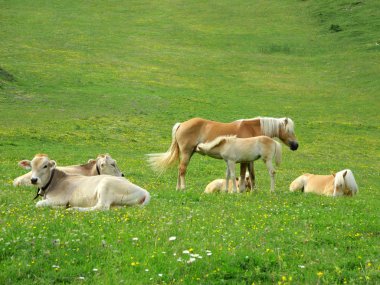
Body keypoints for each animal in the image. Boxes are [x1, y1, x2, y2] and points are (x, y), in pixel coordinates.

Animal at [19, 153, 150, 211]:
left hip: (105, 186)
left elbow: (38, 204)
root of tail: (144, 191)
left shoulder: (59, 199)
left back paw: (73, 209)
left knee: (101, 207)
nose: (33, 179)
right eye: (31, 166)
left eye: (45, 166)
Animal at [147, 116, 298, 190]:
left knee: (179, 170)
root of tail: (182, 124)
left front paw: (254, 191)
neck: (251, 129)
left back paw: (178, 188)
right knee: (183, 170)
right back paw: (183, 188)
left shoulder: (249, 159)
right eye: (289, 130)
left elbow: (252, 175)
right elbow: (242, 175)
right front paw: (240, 190)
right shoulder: (243, 160)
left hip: (186, 153)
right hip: (186, 152)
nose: (296, 145)